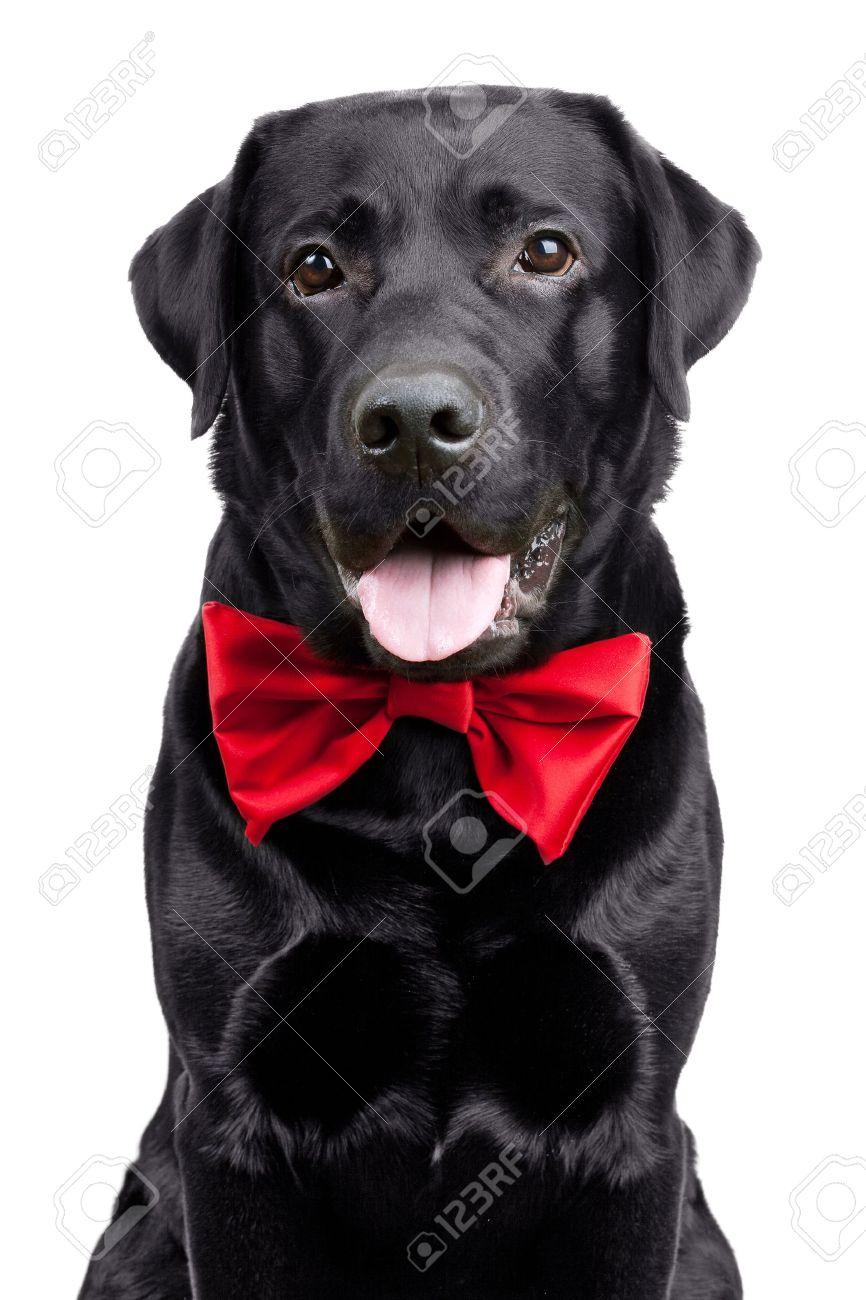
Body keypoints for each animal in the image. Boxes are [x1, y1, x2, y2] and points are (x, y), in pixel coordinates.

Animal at [79, 86, 754, 1294]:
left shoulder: (630, 1125)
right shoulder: (232, 1123)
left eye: (545, 250)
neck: (439, 735)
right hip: (137, 1237)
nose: (412, 425)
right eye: (312, 267)